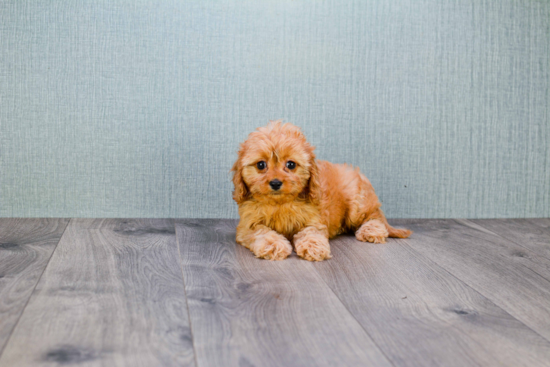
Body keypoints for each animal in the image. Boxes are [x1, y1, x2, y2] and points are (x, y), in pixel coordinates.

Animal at [231, 121, 412, 262]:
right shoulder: (247, 225)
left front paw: (313, 247)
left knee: (374, 216)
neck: (280, 203)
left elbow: (311, 232)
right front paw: (273, 245)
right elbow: (261, 232)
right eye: (261, 165)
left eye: (291, 164)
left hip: (357, 202)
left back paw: (371, 230)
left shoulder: (314, 219)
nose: (275, 183)